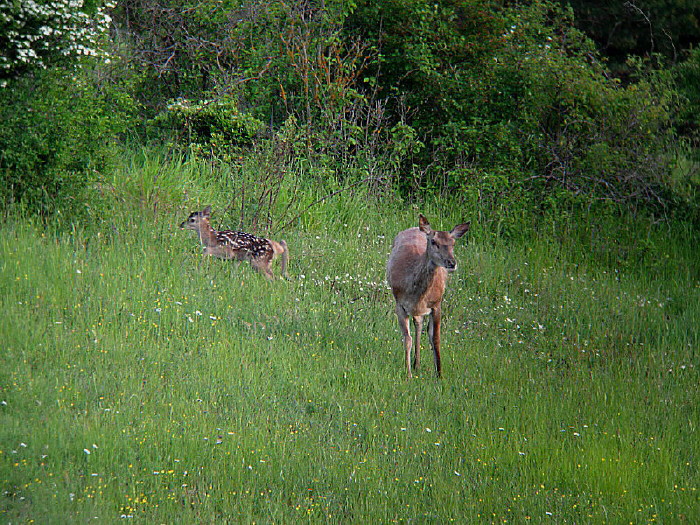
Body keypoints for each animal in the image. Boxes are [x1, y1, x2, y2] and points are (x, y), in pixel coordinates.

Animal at [388, 213, 470, 376]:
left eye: (453, 243)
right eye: (434, 241)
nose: (452, 263)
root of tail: (417, 228)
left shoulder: (437, 304)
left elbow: (436, 339)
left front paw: (439, 374)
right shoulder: (400, 304)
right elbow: (407, 339)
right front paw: (408, 374)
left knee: (419, 324)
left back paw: (417, 364)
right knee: (417, 325)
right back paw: (415, 365)